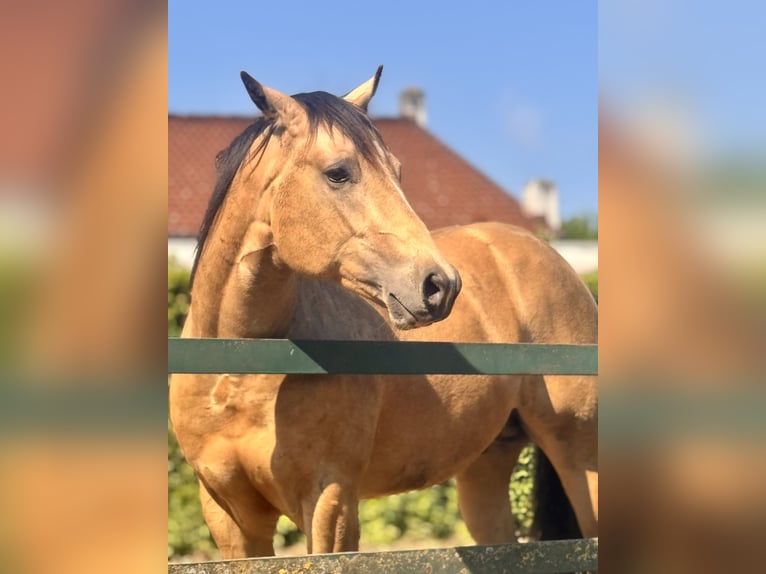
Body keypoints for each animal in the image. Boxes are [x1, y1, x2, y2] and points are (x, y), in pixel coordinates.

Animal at [169, 66, 598, 557]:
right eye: (338, 173)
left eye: (397, 171)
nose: (440, 285)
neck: (240, 364)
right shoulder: (231, 517)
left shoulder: (330, 501)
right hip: (484, 469)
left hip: (580, 460)